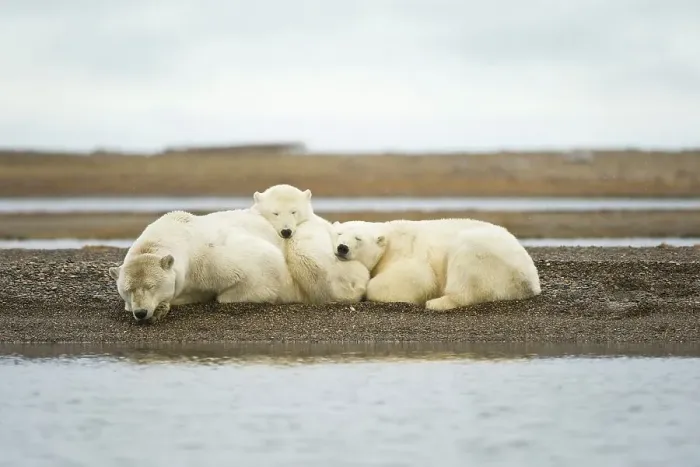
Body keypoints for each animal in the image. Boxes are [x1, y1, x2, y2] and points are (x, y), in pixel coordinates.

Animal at [331, 218, 541, 311]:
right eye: (339, 233)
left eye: (358, 238)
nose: (342, 248)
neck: (390, 238)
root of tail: (531, 280)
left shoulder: (405, 252)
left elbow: (418, 278)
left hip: (486, 257)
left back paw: (436, 303)